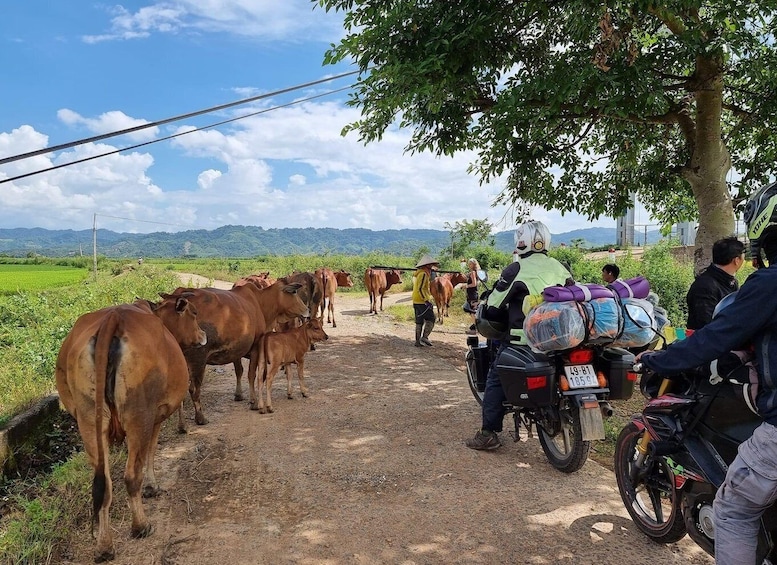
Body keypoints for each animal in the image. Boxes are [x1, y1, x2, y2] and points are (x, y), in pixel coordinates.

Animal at [53, 298, 206, 560]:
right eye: (194, 314)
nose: (203, 334)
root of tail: (113, 319)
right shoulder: (155, 417)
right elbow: (151, 452)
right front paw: (152, 486)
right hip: (139, 416)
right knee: (131, 475)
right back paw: (141, 526)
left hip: (88, 420)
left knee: (103, 484)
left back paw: (104, 546)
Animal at [162, 278, 308, 424]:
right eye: (294, 292)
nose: (307, 310)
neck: (260, 302)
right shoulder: (255, 347)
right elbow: (251, 374)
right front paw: (254, 402)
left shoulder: (237, 349)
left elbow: (239, 371)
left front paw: (239, 395)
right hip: (198, 358)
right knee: (193, 389)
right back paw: (200, 418)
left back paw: (182, 425)